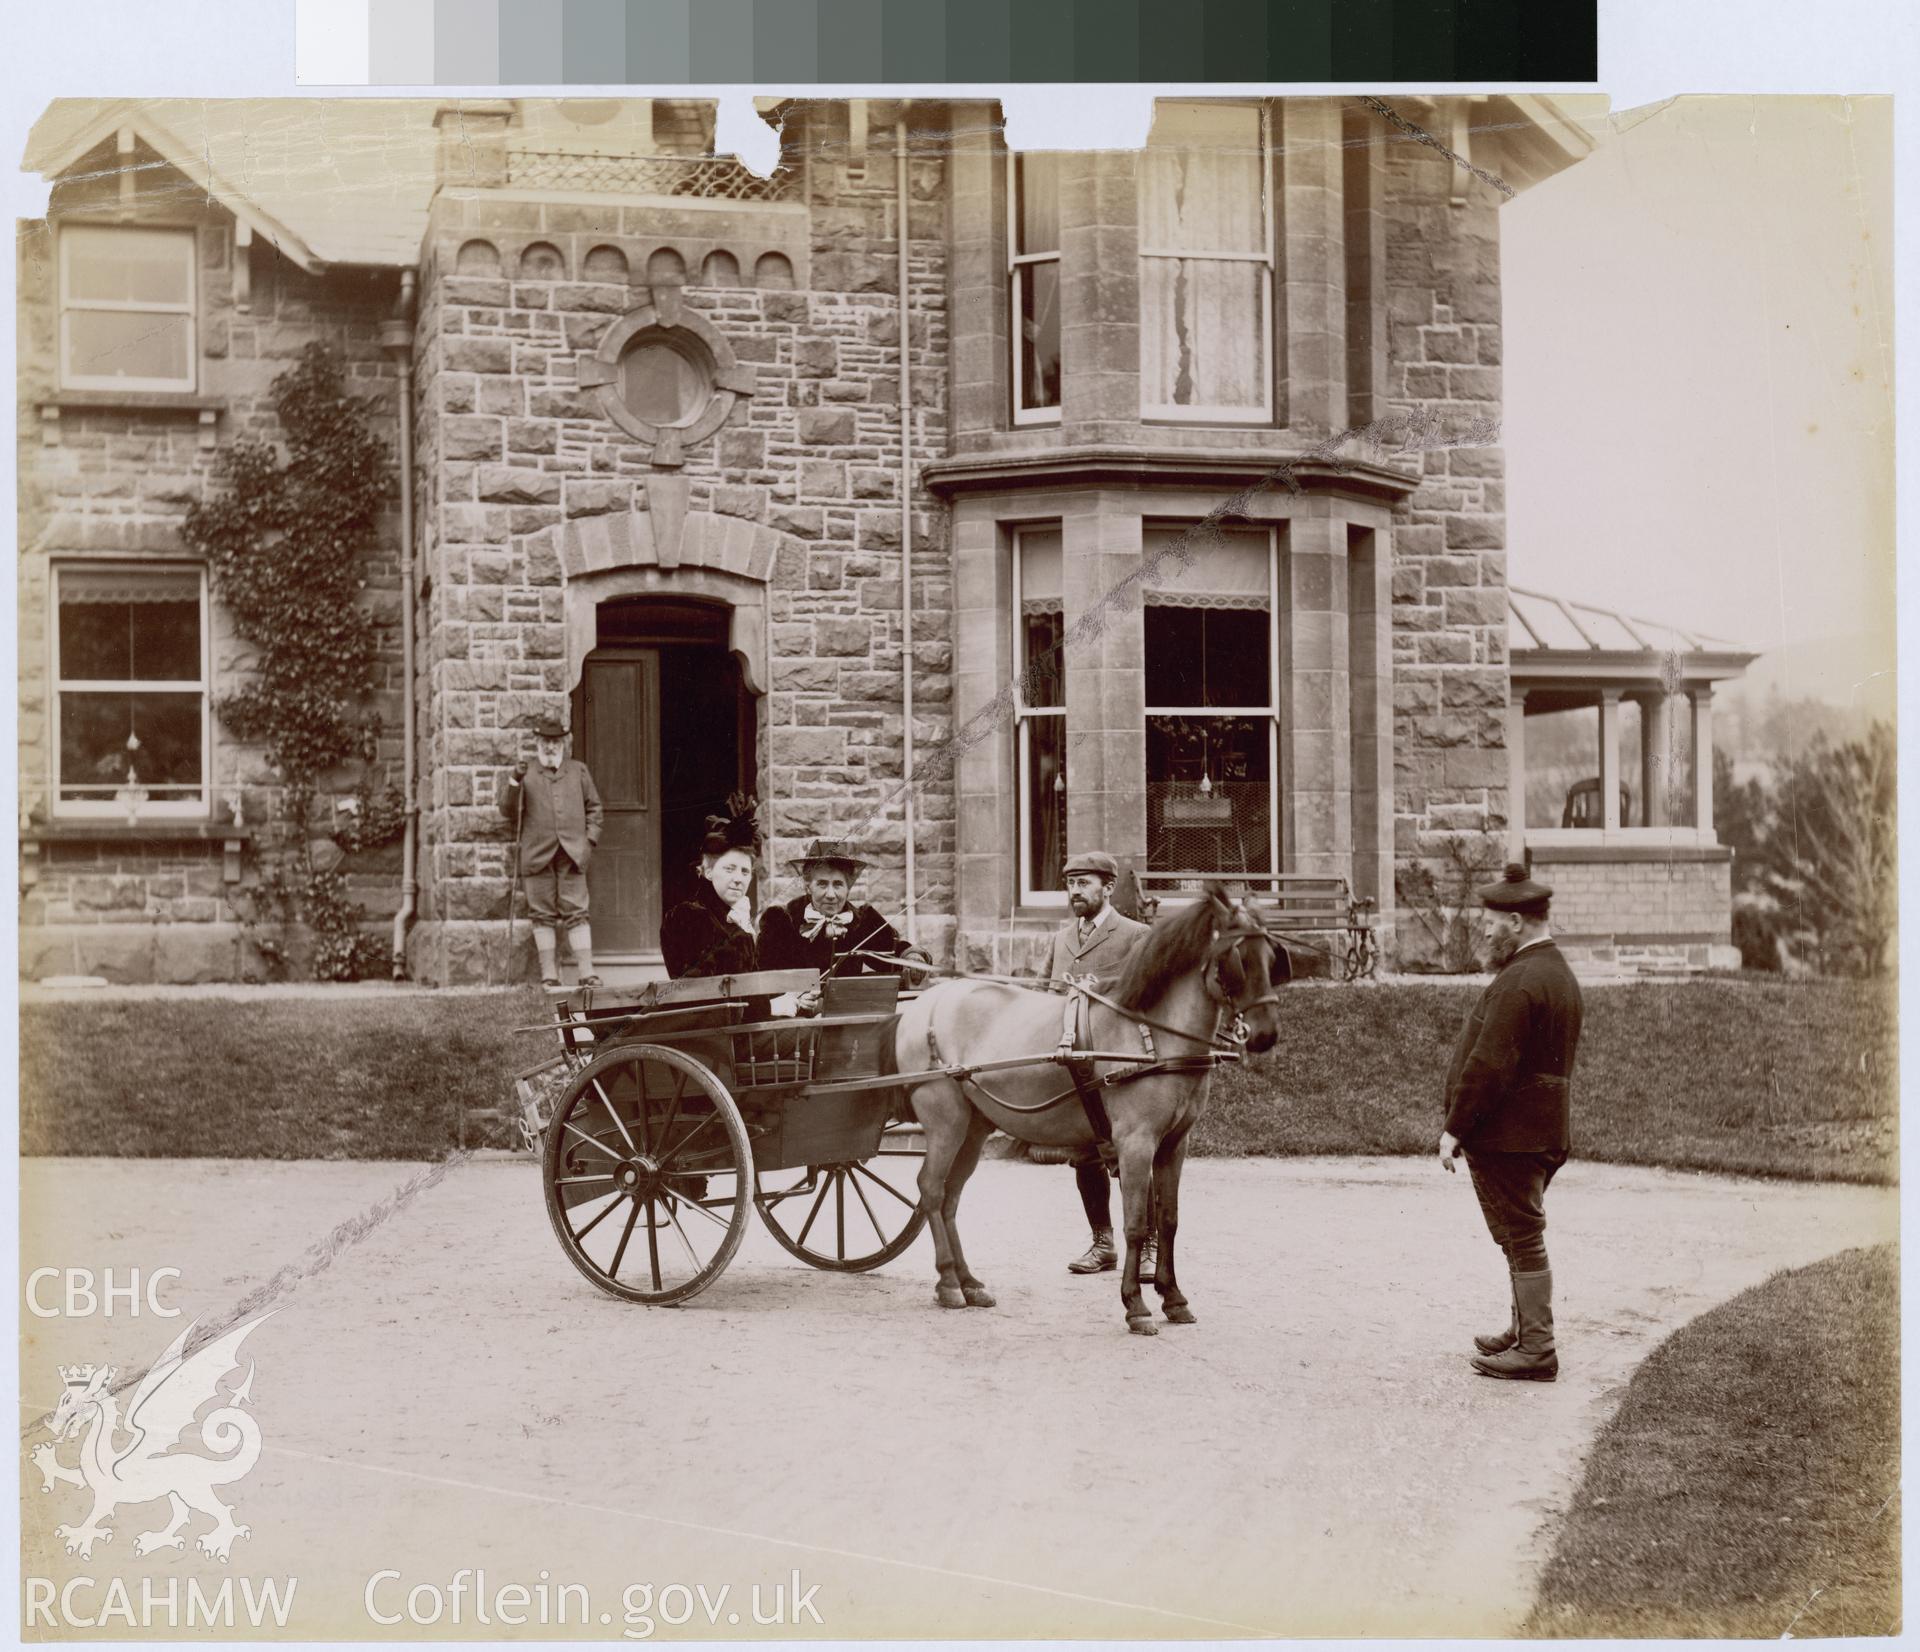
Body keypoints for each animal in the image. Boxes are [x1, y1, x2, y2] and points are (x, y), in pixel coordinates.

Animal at [887, 883, 1282, 1336]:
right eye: (1236, 958)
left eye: (1272, 956)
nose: (1266, 1034)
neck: (1148, 1036)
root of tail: (926, 1002)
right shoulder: (1135, 1143)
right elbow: (1135, 1222)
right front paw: (1136, 1305)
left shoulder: (1174, 1144)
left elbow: (1168, 1219)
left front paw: (1173, 1297)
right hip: (945, 1122)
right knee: (931, 1190)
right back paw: (949, 1282)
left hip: (974, 1126)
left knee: (950, 1195)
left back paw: (968, 1282)